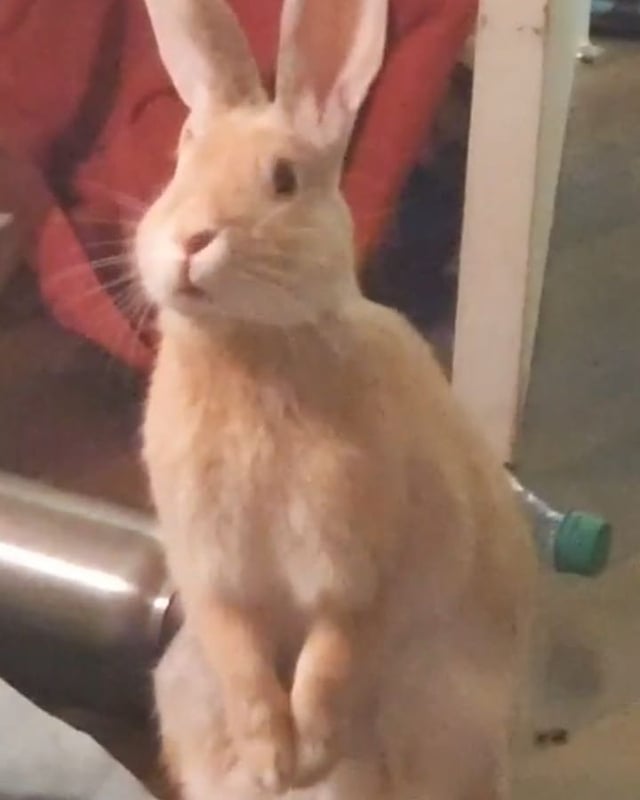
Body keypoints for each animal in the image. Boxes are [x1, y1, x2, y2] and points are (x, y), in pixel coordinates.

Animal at [137, 1, 536, 799]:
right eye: (178, 164)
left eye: (284, 179)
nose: (191, 241)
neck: (249, 348)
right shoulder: (211, 577)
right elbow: (242, 656)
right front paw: (270, 763)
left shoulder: (370, 570)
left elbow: (334, 655)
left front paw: (311, 751)